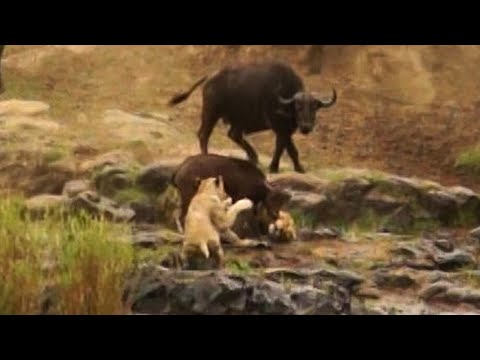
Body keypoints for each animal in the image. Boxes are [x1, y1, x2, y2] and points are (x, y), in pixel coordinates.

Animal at [169, 61, 338, 174]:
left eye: (314, 108)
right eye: (298, 107)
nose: (306, 127)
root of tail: (210, 77)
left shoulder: (286, 129)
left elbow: (288, 148)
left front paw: (298, 167)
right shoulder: (279, 127)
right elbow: (284, 147)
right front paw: (275, 167)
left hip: (238, 119)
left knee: (234, 135)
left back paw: (253, 157)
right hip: (211, 113)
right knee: (204, 134)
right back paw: (206, 156)